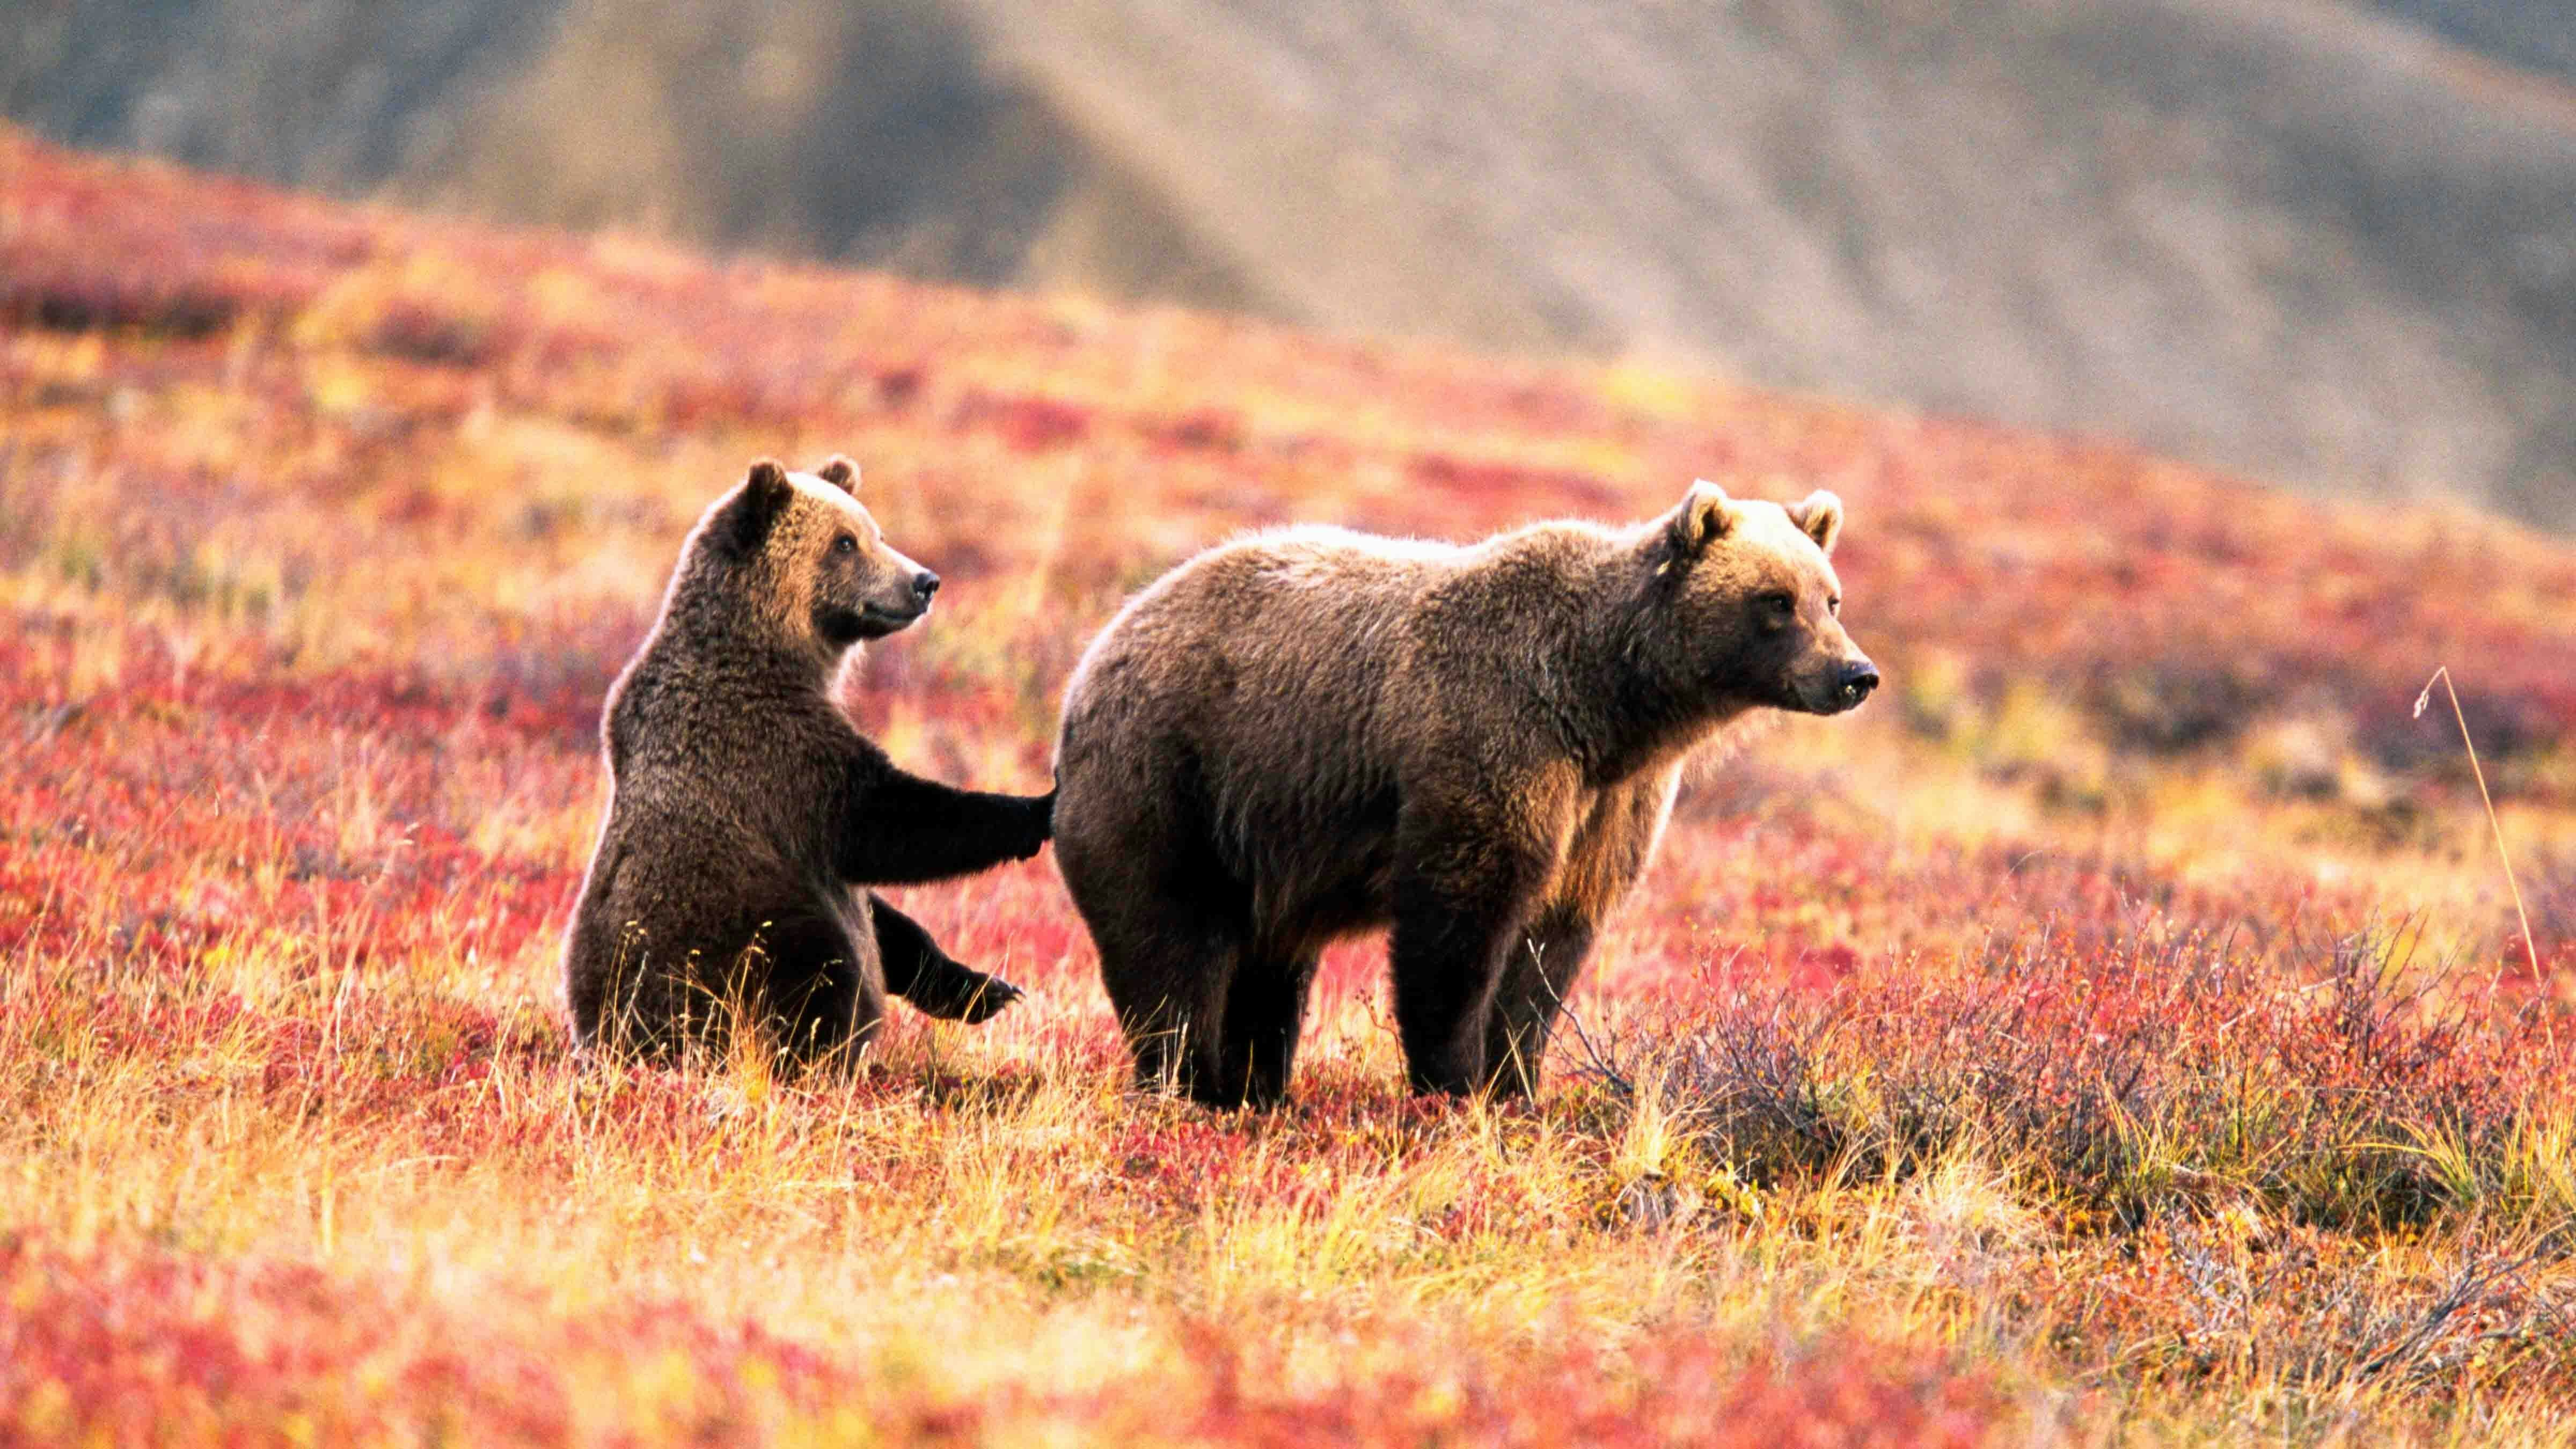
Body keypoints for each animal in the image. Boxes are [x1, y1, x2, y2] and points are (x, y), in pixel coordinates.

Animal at [564, 456, 1055, 1070]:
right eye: (844, 542)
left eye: (876, 532)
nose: (925, 582)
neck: (777, 654)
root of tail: (600, 1041)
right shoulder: (767, 744)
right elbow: (882, 821)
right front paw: (1038, 808)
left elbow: (883, 909)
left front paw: (986, 988)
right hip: (727, 936)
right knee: (815, 968)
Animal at [1051, 481, 1875, 1107]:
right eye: (1776, 600)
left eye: (1831, 598)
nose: (1855, 675)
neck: (1606, 704)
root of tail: (1095, 655)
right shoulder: (1495, 734)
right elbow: (1460, 925)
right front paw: (1451, 1083)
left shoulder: (1610, 804)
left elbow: (1550, 948)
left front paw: (1518, 1084)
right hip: (1169, 779)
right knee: (1169, 944)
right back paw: (1189, 1085)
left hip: (1264, 839)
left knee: (1270, 968)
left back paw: (1255, 1091)